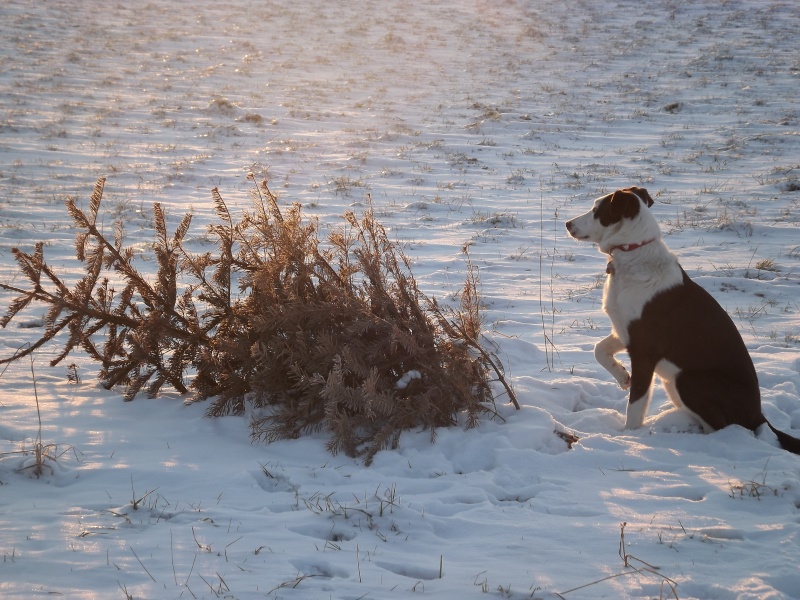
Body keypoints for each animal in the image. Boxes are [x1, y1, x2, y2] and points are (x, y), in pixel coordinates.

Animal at [564, 188, 800, 454]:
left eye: (597, 210)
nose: (568, 224)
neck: (633, 252)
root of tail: (759, 416)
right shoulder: (625, 331)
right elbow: (599, 349)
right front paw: (622, 376)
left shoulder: (644, 350)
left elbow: (636, 403)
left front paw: (629, 438)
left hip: (687, 380)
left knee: (722, 427)